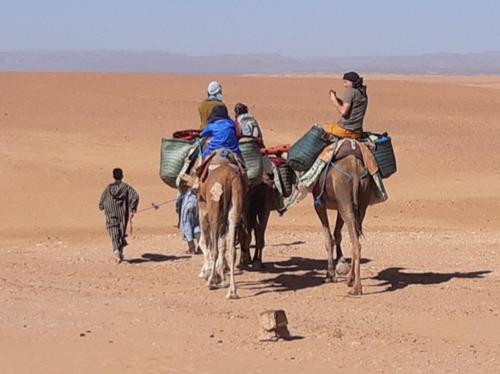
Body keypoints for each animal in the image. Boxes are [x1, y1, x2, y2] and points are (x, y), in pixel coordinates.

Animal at [197, 153, 248, 300]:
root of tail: (227, 177)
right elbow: (222, 245)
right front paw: (221, 276)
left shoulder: (202, 208)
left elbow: (204, 241)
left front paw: (207, 272)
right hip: (235, 204)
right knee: (231, 250)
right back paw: (232, 291)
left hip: (214, 206)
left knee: (214, 246)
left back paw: (211, 281)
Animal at [312, 153, 376, 296]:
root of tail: (355, 169)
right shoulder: (338, 205)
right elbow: (337, 234)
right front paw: (339, 264)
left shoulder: (319, 203)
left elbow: (328, 238)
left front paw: (330, 275)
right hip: (361, 201)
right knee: (355, 238)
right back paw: (351, 281)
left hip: (344, 196)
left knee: (356, 243)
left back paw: (356, 288)